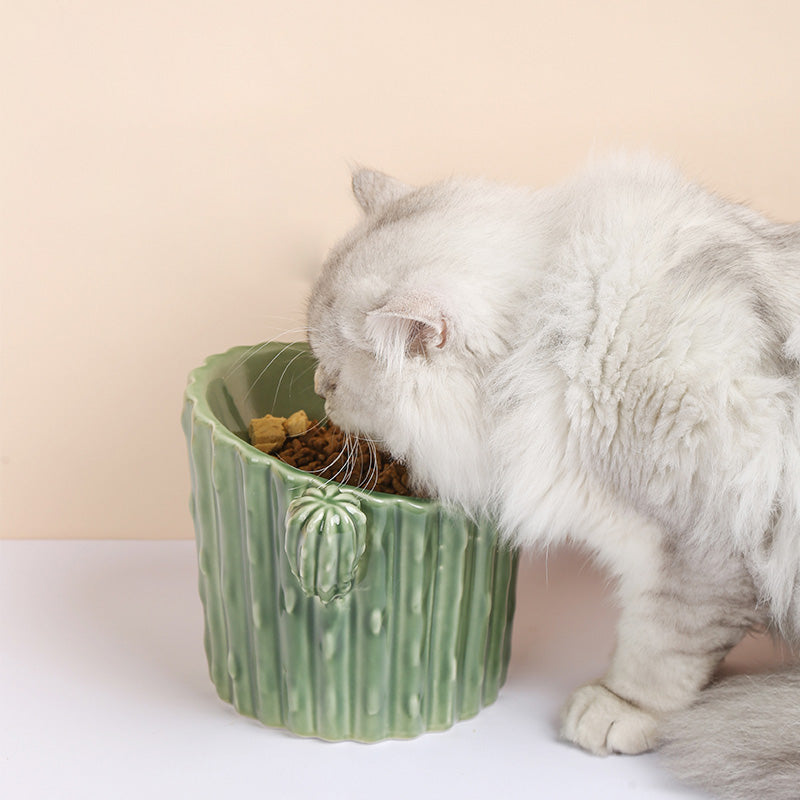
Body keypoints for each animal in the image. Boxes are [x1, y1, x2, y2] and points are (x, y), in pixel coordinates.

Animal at [304, 152, 800, 800]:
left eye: (335, 378)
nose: (318, 389)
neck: (554, 338)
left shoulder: (701, 544)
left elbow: (662, 648)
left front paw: (620, 709)